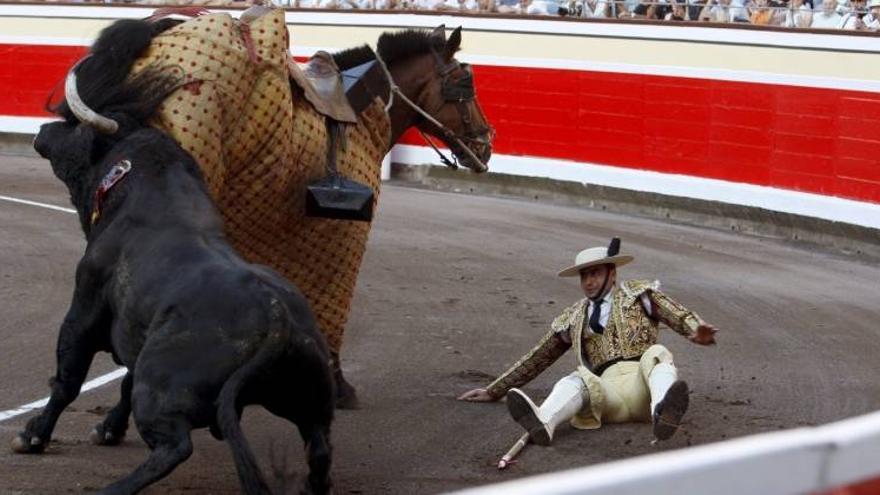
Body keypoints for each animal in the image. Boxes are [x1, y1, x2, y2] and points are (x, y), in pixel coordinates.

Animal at [17, 109, 334, 492]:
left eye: (75, 128)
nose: (43, 128)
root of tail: (275, 314)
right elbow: (123, 380)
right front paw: (108, 429)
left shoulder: (84, 305)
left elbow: (68, 379)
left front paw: (33, 436)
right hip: (308, 395)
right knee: (319, 446)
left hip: (159, 384)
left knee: (175, 446)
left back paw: (116, 488)